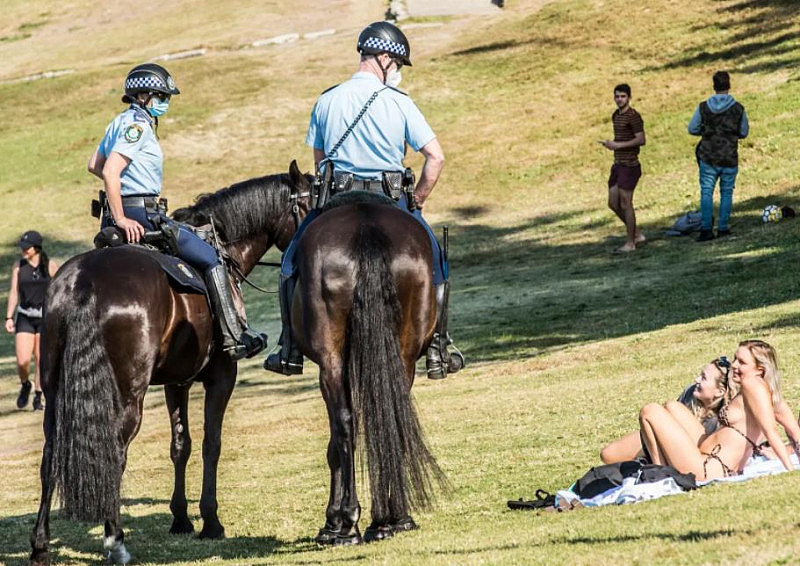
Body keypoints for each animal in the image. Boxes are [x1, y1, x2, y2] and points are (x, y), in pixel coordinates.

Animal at [28, 162, 310, 564]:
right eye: (309, 204)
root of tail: (84, 281)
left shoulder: (178, 380)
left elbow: (181, 445)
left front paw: (181, 519)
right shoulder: (222, 375)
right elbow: (211, 444)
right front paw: (211, 521)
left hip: (55, 392)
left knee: (50, 455)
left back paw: (40, 545)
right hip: (127, 396)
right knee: (115, 451)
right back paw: (115, 542)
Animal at [290, 193, 446, 548]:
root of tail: (366, 226)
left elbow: (337, 443)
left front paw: (335, 522)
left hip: (331, 361)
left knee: (344, 425)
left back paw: (348, 523)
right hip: (403, 354)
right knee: (392, 414)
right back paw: (392, 518)